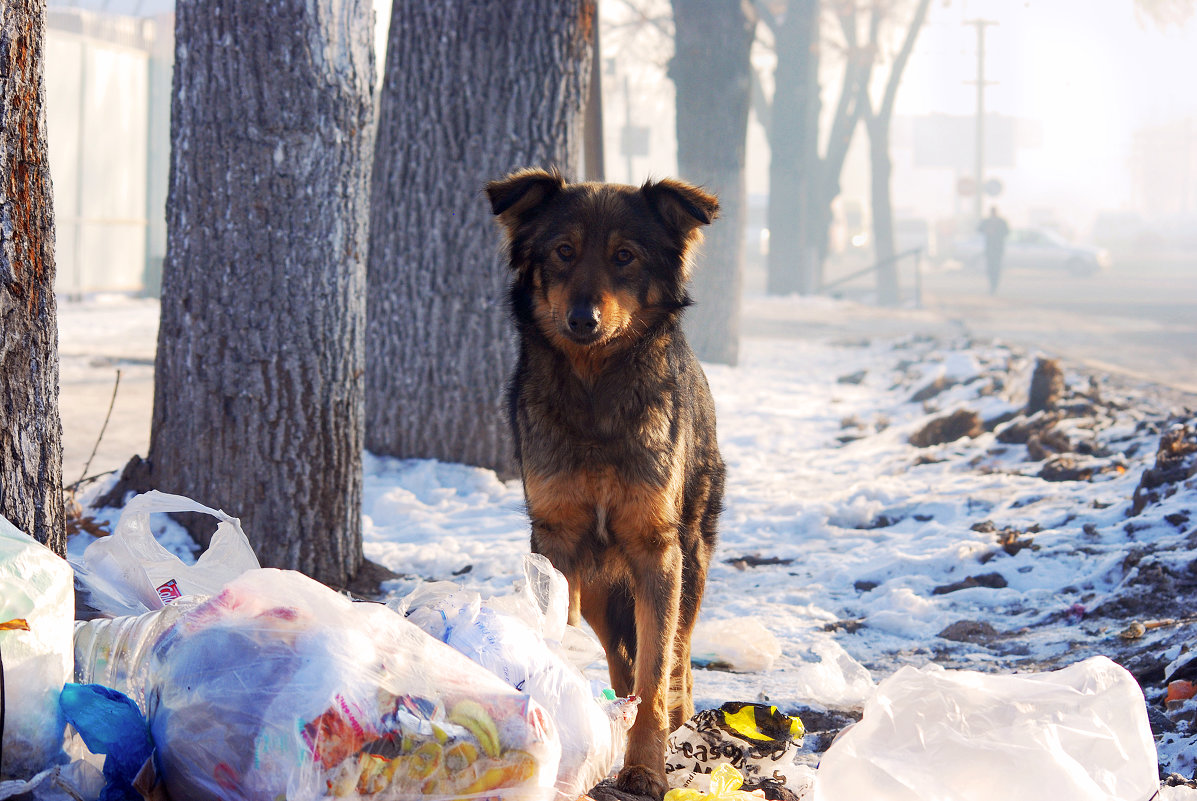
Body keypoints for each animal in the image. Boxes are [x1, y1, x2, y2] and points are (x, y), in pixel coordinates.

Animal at [483, 167, 722, 795]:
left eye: (625, 257)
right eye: (563, 252)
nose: (582, 320)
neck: (594, 392)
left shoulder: (656, 547)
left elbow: (657, 668)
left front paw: (644, 767)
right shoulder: (557, 541)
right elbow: (568, 638)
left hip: (690, 553)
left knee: (676, 645)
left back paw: (678, 708)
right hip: (595, 583)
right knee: (619, 654)